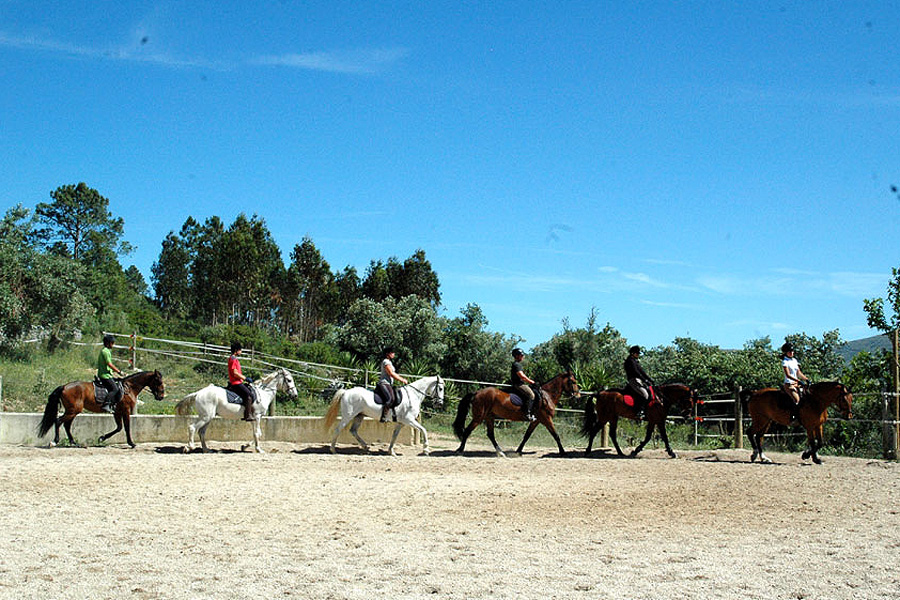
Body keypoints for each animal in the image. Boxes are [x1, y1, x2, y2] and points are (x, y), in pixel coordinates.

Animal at [38, 370, 166, 448]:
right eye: (159, 381)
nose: (161, 397)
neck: (129, 388)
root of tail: (64, 386)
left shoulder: (117, 412)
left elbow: (119, 428)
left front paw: (102, 438)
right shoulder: (125, 411)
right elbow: (127, 427)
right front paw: (131, 443)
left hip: (72, 411)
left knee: (66, 425)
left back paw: (73, 442)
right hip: (73, 410)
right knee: (59, 421)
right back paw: (54, 441)